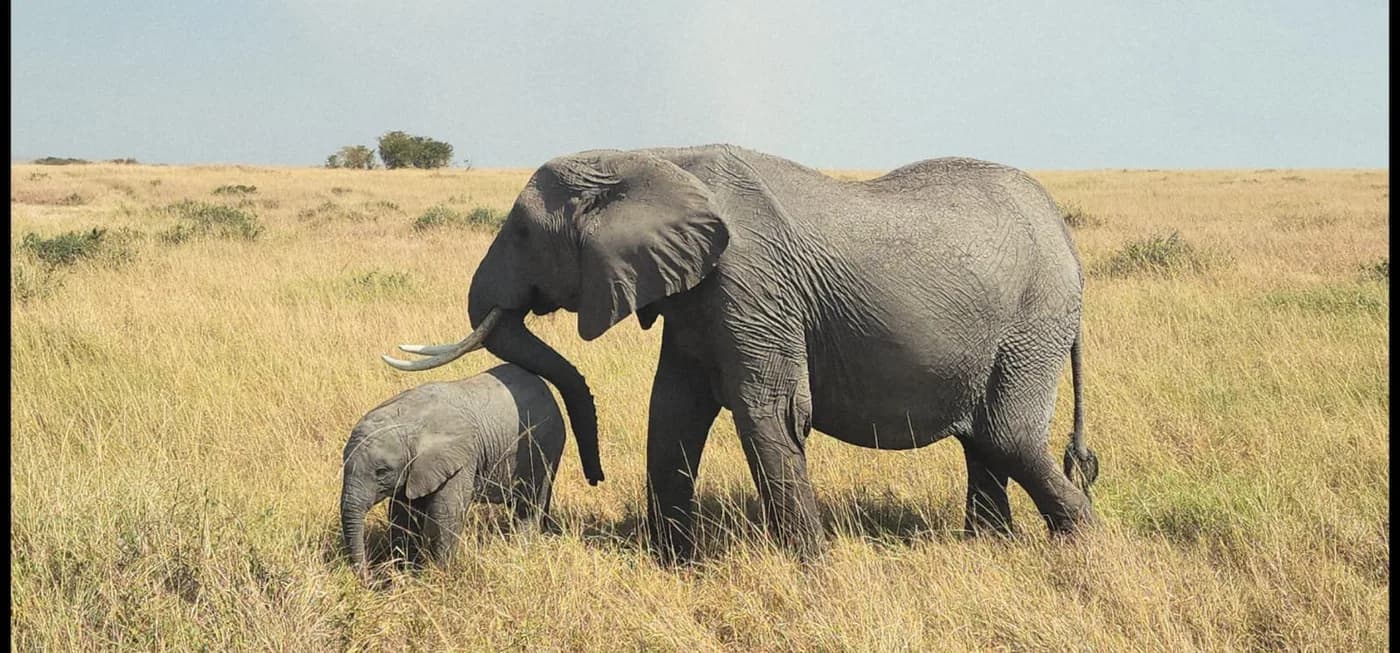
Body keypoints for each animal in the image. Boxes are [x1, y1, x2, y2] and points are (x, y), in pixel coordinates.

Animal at [340, 364, 565, 579]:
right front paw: (405, 571)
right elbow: (403, 515)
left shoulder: (460, 459)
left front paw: (438, 573)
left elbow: (446, 514)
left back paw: (521, 548)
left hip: (547, 445)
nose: (370, 578)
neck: (406, 417)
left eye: (382, 471)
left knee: (531, 500)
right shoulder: (413, 470)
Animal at [383, 144, 1100, 563]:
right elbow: (672, 412)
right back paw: (989, 549)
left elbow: (770, 412)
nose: (592, 476)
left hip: (1033, 321)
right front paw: (676, 566)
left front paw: (812, 571)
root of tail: (1066, 237)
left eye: (525, 233)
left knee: (1006, 435)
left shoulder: (750, 282)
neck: (649, 158)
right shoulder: (697, 292)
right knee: (983, 440)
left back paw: (1083, 551)